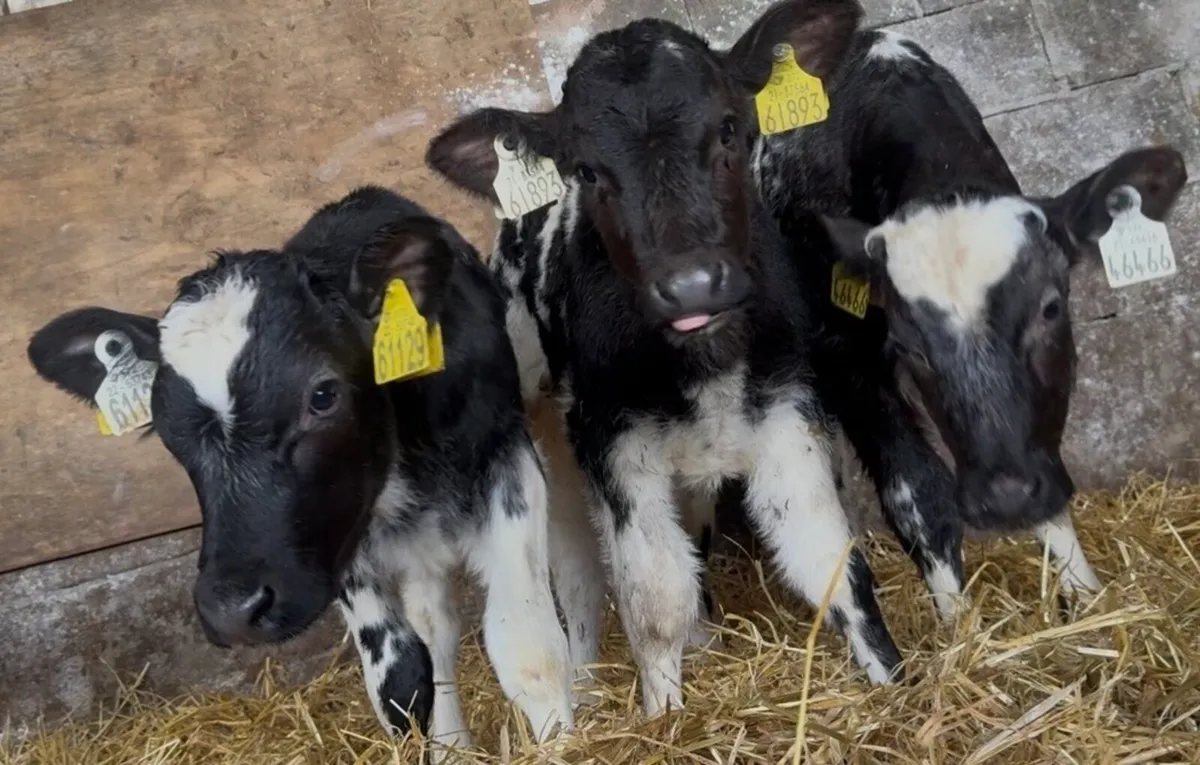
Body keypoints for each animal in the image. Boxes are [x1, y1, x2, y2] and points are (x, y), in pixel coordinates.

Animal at [25, 186, 577, 758]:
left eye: (323, 395)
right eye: (165, 424)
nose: (232, 610)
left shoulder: (507, 462)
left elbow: (529, 649)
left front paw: (562, 745)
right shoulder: (333, 540)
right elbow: (400, 680)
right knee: (434, 631)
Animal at [425, 0, 908, 719]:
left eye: (730, 128)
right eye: (586, 170)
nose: (691, 285)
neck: (704, 364)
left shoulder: (788, 413)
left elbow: (828, 561)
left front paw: (896, 684)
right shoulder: (612, 444)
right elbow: (652, 599)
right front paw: (663, 716)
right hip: (547, 431)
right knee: (578, 570)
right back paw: (588, 681)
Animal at [753, 26, 1189, 615]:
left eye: (1051, 308)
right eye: (908, 344)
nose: (1003, 499)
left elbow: (1045, 484)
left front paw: (1084, 596)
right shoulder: (843, 355)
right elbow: (916, 494)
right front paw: (957, 624)